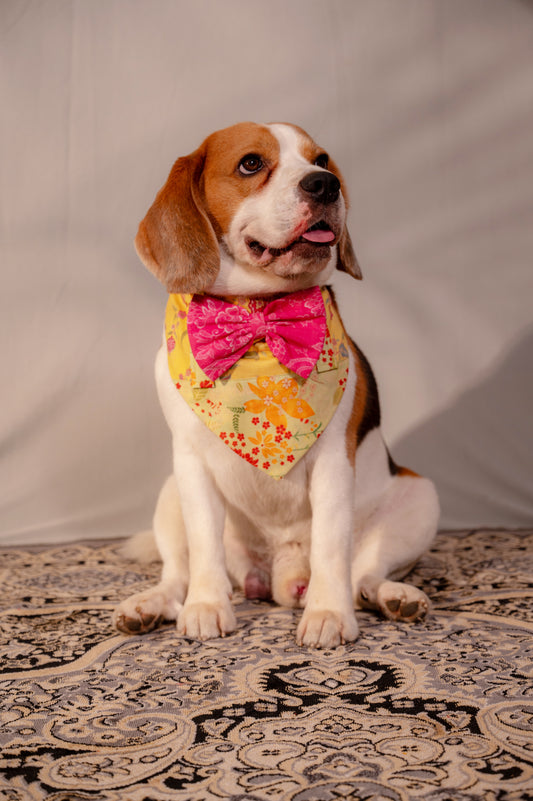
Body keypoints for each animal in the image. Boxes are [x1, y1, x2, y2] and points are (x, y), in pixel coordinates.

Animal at [113, 122, 440, 648]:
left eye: (321, 160)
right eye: (251, 163)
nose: (325, 184)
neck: (260, 317)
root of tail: (278, 577)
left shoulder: (334, 461)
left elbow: (332, 545)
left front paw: (328, 614)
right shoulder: (190, 460)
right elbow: (203, 547)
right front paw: (207, 606)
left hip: (421, 495)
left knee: (364, 574)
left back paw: (392, 596)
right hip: (169, 494)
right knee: (176, 574)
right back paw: (150, 604)